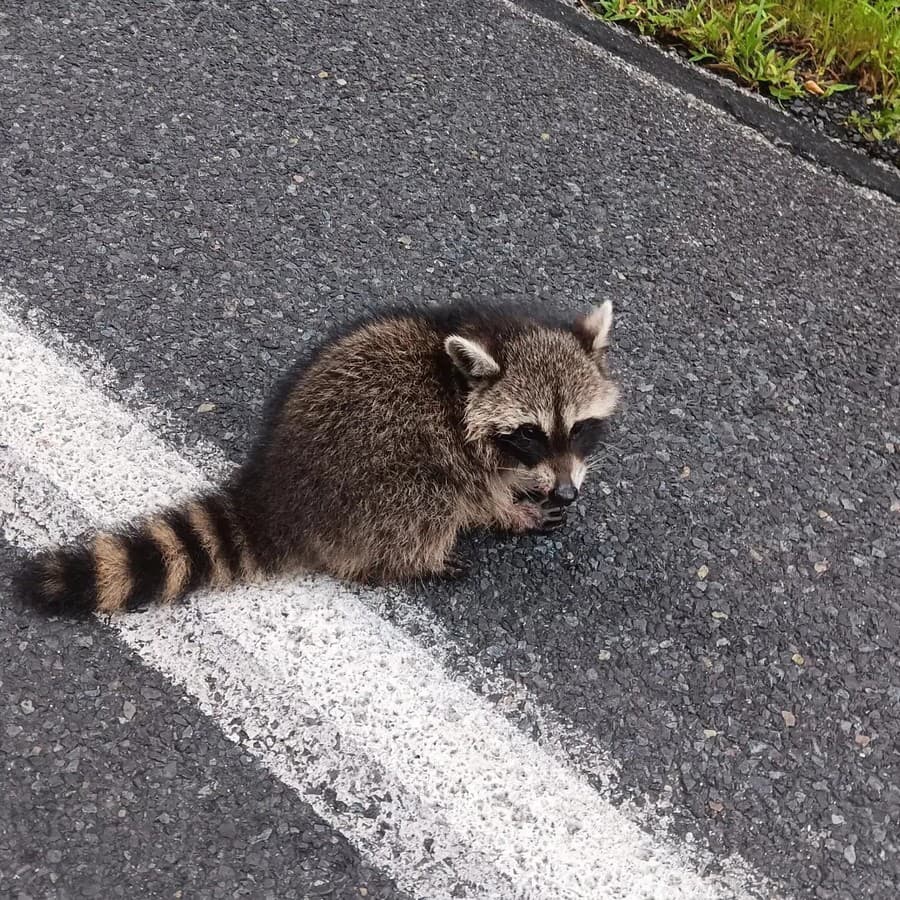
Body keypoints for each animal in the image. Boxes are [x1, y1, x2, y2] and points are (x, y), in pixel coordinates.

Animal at [21, 298, 624, 616]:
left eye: (579, 428)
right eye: (530, 434)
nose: (568, 491)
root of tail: (278, 491)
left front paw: (536, 487)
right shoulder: (458, 448)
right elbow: (477, 495)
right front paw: (512, 511)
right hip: (378, 484)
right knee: (424, 504)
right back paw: (413, 561)